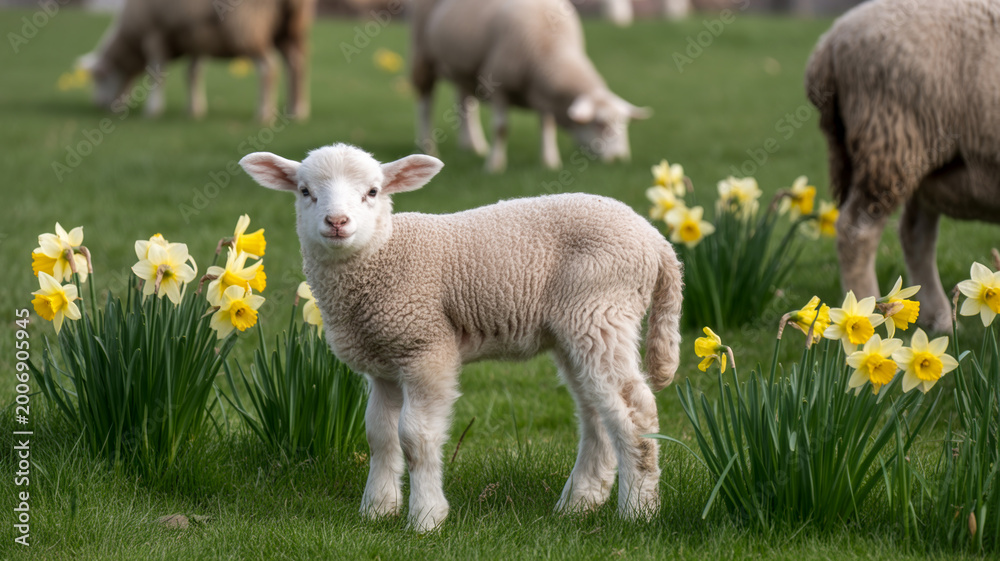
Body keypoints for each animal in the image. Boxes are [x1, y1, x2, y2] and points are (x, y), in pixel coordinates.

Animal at [79, 0, 314, 123]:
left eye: (100, 78)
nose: (99, 105)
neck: (131, 39)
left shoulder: (155, 35)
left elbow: (157, 75)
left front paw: (153, 110)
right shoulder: (196, 40)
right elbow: (192, 73)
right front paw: (195, 109)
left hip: (246, 25)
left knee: (268, 68)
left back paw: (263, 115)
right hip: (291, 29)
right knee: (296, 66)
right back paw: (297, 111)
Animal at [239, 143, 683, 532]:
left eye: (373, 192)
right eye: (305, 191)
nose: (336, 223)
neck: (383, 254)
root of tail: (658, 243)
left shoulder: (426, 346)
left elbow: (415, 437)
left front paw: (425, 518)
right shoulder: (383, 361)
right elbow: (379, 435)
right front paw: (377, 510)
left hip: (601, 310)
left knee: (635, 411)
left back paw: (637, 511)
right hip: (575, 330)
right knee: (596, 412)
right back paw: (578, 504)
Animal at [411, 0, 652, 173]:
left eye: (624, 124)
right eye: (601, 124)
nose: (620, 159)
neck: (550, 49)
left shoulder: (543, 95)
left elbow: (547, 126)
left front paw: (549, 162)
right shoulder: (498, 85)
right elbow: (501, 128)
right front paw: (495, 166)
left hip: (464, 68)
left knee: (464, 103)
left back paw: (473, 146)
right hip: (423, 55)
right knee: (425, 103)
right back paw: (428, 146)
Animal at [805, 0, 1000, 332]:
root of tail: (830, 42)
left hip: (923, 160)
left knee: (915, 234)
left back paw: (940, 318)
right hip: (892, 139)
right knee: (857, 232)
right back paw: (866, 317)